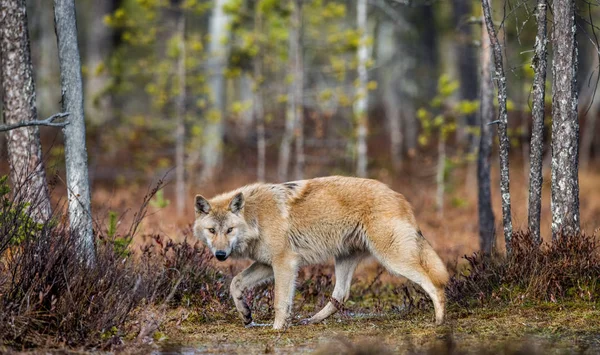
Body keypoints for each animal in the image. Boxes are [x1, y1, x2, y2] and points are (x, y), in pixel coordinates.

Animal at [193, 177, 450, 330]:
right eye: (212, 230)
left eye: (229, 230)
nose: (220, 254)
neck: (255, 216)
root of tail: (400, 197)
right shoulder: (267, 264)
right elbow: (235, 283)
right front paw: (246, 314)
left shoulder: (285, 263)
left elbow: (279, 301)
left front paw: (277, 329)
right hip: (345, 259)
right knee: (341, 295)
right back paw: (311, 320)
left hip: (393, 260)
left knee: (435, 284)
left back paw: (439, 320)